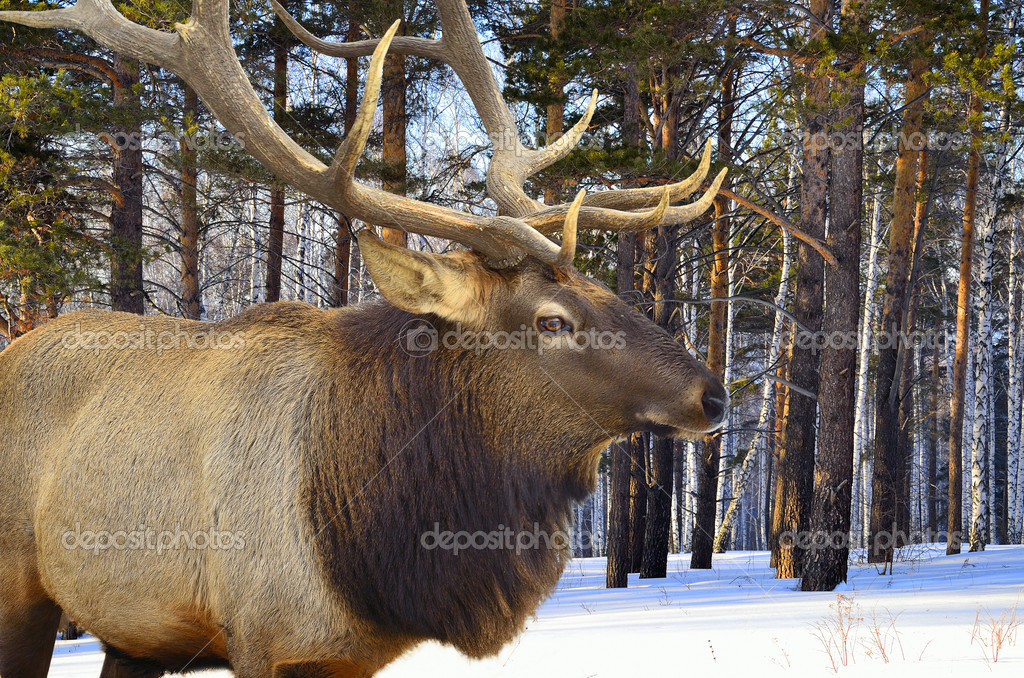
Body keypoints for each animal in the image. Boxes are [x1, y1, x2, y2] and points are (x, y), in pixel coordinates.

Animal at [0, 1, 729, 678]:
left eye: (602, 286)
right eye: (552, 320)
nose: (712, 395)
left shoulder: (346, 654)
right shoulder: (263, 637)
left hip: (135, 634)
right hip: (20, 586)